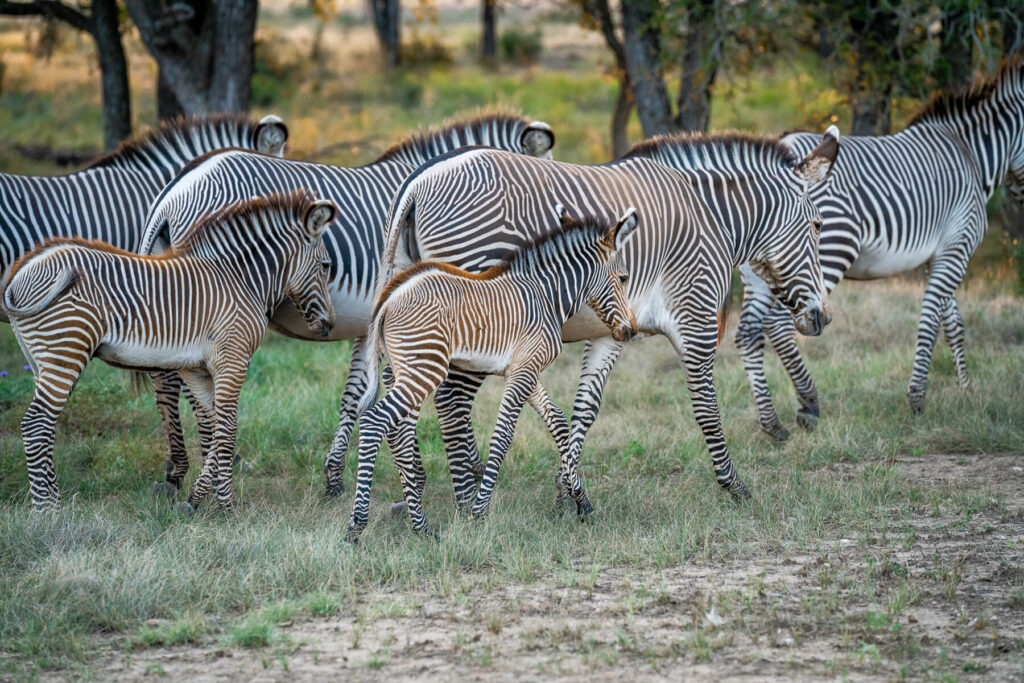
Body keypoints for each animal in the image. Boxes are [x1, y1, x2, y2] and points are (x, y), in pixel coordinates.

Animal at [3, 190, 336, 511]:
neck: (240, 280)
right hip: (64, 352)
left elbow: (215, 427)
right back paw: (45, 510)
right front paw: (227, 507)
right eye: (326, 266)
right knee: (35, 424)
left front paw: (198, 498)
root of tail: (23, 271)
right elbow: (228, 429)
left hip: (41, 361)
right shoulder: (233, 359)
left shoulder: (196, 369)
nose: (329, 324)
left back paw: (55, 502)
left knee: (45, 425)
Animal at [134, 111, 556, 495]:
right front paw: (446, 470)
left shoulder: (372, 327)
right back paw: (212, 462)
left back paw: (179, 470)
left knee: (166, 374)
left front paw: (336, 475)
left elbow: (355, 395)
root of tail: (173, 192)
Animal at [347, 208, 638, 541]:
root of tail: (390, 294)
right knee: (375, 421)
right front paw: (479, 510)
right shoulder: (523, 371)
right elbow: (502, 437)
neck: (546, 296)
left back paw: (420, 525)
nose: (631, 331)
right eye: (624, 278)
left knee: (398, 431)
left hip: (406, 369)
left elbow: (558, 422)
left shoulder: (526, 370)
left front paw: (582, 502)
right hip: (425, 367)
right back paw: (357, 526)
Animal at [362, 128, 839, 511]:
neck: (712, 216)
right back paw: (464, 497)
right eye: (818, 226)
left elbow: (585, 411)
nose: (822, 318)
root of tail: (418, 180)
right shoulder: (697, 316)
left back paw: (414, 492)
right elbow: (706, 408)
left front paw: (567, 493)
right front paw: (733, 484)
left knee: (398, 394)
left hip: (414, 313)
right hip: (470, 318)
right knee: (451, 400)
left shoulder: (613, 329)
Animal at [735, 58, 1024, 441]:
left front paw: (966, 390)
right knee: (782, 322)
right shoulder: (957, 245)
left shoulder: (939, 254)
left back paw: (770, 423)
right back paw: (808, 406)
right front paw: (918, 400)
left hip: (761, 268)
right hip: (826, 251)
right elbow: (931, 318)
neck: (972, 155)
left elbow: (953, 322)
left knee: (749, 330)